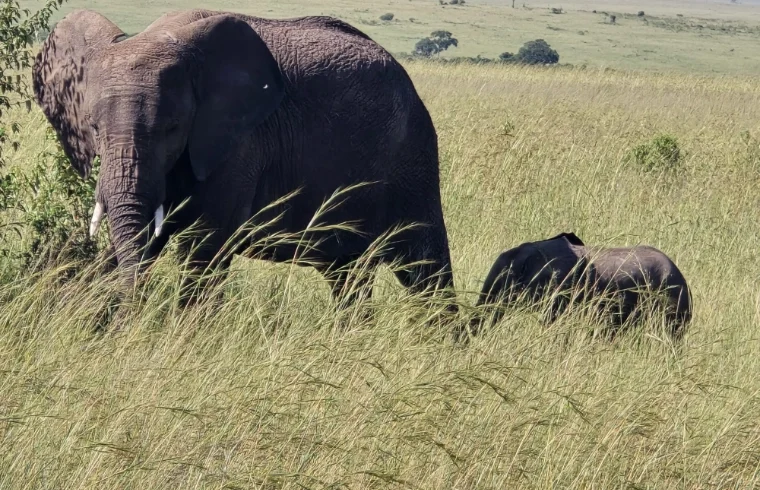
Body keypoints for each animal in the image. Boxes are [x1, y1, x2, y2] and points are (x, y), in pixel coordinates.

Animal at [33, 9, 457, 316]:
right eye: (93, 128)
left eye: (173, 128)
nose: (130, 317)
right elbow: (147, 237)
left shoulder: (239, 144)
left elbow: (204, 247)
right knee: (348, 276)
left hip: (412, 156)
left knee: (425, 270)